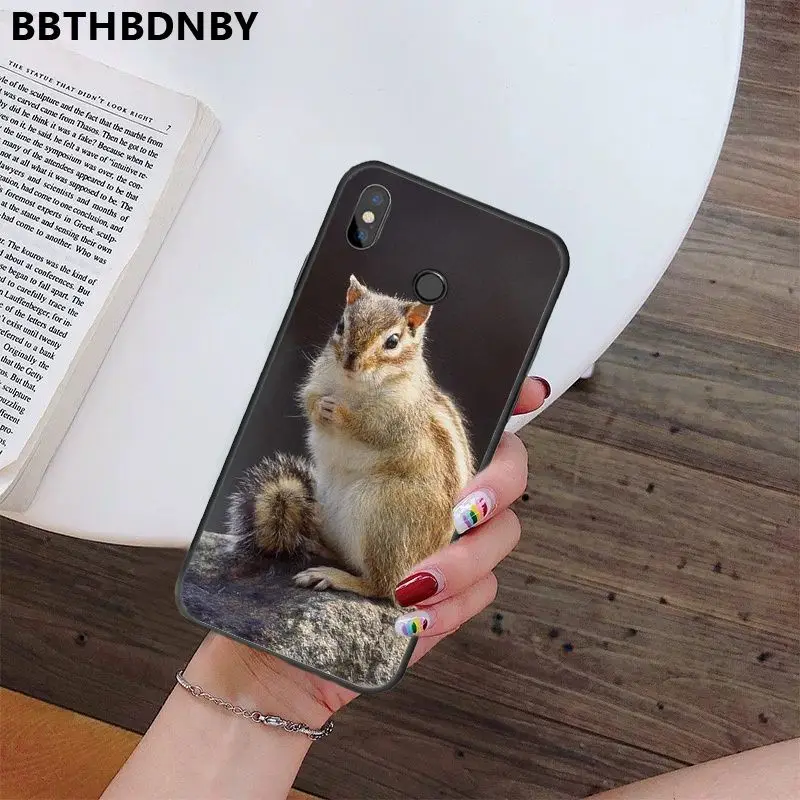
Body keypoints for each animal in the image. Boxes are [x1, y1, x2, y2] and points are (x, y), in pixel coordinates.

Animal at [226, 275, 474, 599]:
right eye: (341, 325)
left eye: (392, 342)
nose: (349, 361)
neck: (352, 386)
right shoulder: (318, 379)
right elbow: (309, 400)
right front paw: (321, 408)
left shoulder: (399, 416)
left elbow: (372, 428)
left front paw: (342, 415)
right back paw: (318, 547)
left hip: (384, 519)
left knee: (382, 586)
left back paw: (334, 577)